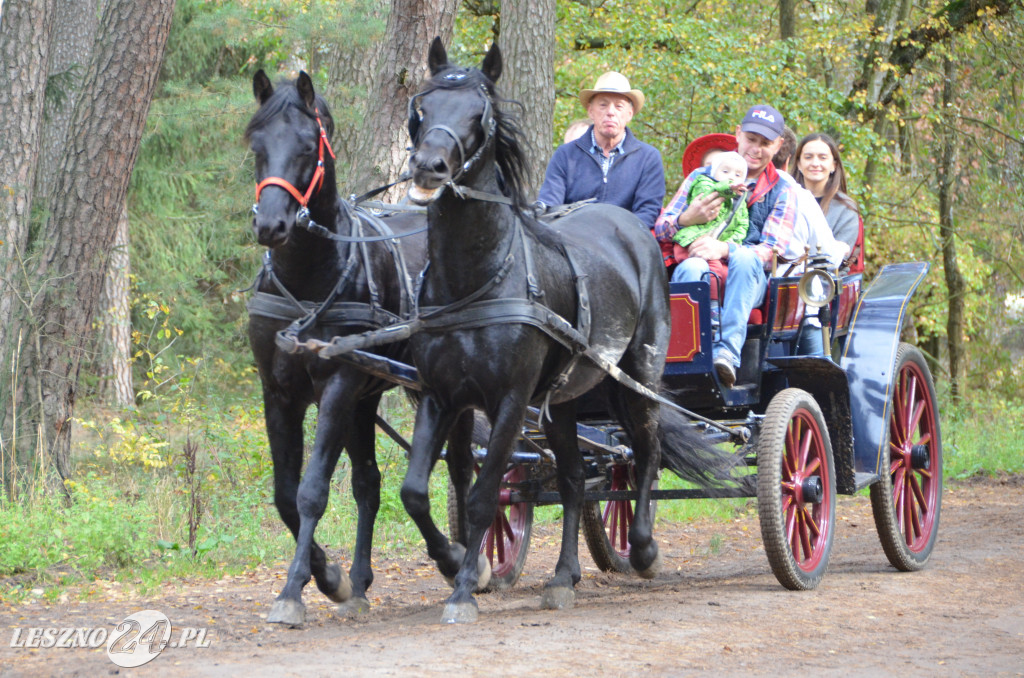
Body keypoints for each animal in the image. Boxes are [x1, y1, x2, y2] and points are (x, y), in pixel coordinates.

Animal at [243, 69, 479, 626]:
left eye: (308, 147)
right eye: (256, 145)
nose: (271, 225)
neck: (309, 276)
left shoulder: (337, 385)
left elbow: (311, 492)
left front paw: (294, 590)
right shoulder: (278, 393)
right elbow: (285, 495)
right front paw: (330, 577)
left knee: (460, 468)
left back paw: (463, 559)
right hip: (368, 399)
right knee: (368, 482)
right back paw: (363, 579)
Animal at [397, 39, 729, 622]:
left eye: (478, 112)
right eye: (423, 106)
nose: (428, 166)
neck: (475, 278)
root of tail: (628, 225)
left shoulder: (508, 400)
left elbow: (483, 495)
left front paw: (462, 590)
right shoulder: (441, 395)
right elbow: (416, 491)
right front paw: (457, 561)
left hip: (637, 376)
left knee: (646, 454)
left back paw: (643, 549)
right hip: (566, 400)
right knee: (577, 479)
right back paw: (563, 578)